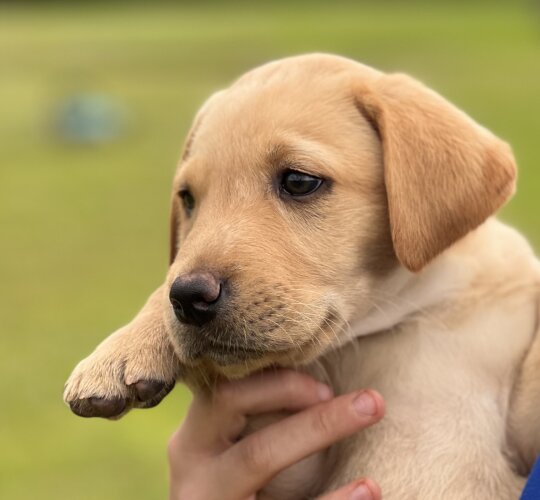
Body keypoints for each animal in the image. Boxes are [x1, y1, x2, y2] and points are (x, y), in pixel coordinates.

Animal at [64, 54, 540, 500]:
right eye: (189, 199)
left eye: (298, 181)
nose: (188, 298)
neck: (408, 312)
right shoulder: (289, 459)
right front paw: (123, 349)